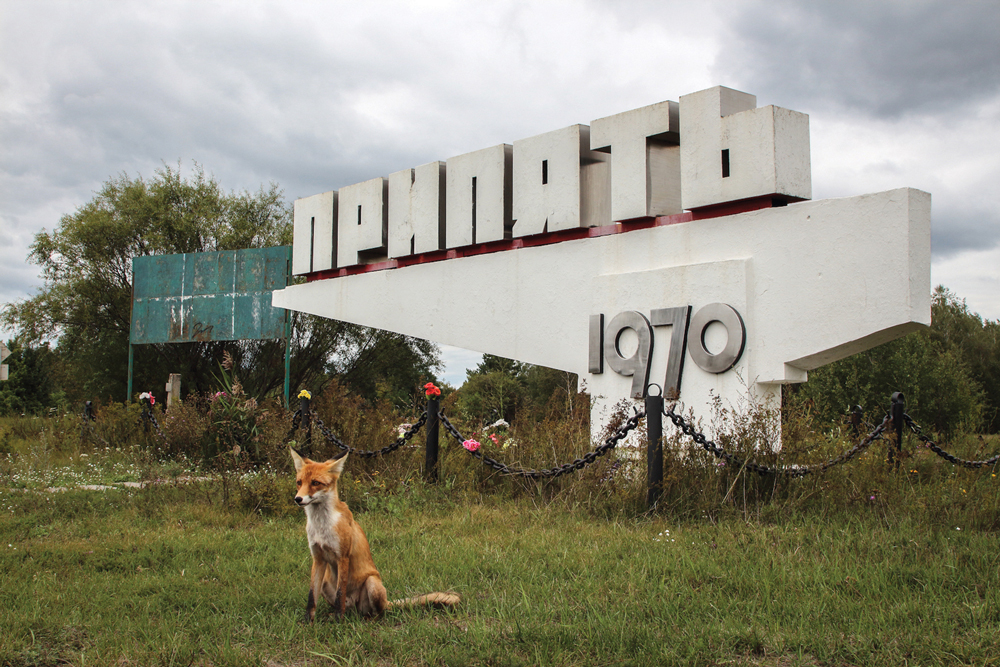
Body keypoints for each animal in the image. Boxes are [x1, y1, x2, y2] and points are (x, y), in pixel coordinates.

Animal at [290, 446, 460, 624]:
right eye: (299, 482)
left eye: (315, 483)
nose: (297, 499)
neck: (322, 525)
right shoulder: (318, 558)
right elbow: (311, 597)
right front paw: (308, 622)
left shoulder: (343, 557)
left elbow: (339, 595)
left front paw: (338, 622)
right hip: (326, 583)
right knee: (349, 608)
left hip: (372, 582)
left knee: (377, 612)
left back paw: (367, 619)